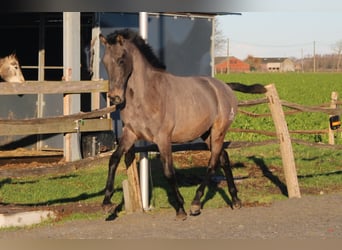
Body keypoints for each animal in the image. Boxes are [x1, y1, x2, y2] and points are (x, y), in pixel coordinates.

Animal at [99, 28, 264, 219]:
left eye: (121, 60)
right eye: (104, 62)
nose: (115, 97)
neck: (146, 95)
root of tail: (224, 87)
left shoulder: (163, 138)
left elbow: (169, 172)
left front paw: (180, 208)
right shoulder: (130, 133)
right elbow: (113, 159)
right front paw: (107, 204)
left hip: (218, 131)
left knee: (213, 162)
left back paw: (196, 204)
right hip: (207, 133)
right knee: (223, 157)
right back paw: (235, 200)